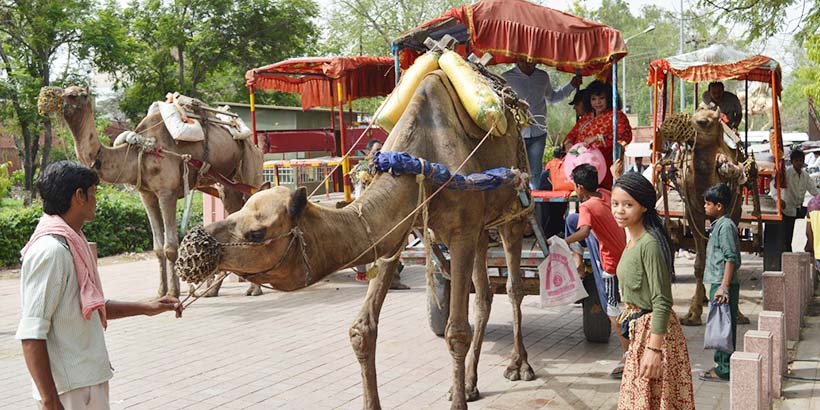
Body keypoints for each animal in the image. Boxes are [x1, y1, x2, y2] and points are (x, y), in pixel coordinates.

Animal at [41, 86, 262, 298]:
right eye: (64, 90)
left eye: (78, 94)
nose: (51, 99)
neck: (141, 149)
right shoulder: (146, 194)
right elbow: (157, 247)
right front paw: (161, 292)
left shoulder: (166, 192)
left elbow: (170, 246)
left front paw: (173, 293)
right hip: (226, 183)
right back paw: (213, 290)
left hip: (250, 167)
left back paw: (253, 289)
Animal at [175, 69, 528, 408]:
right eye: (235, 214)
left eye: (256, 233)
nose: (192, 247)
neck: (422, 162)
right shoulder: (398, 231)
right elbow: (362, 329)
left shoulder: (461, 232)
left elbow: (456, 333)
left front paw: (460, 397)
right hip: (481, 230)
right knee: (484, 295)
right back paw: (469, 384)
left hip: (513, 214)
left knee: (513, 286)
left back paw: (518, 366)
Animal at [664, 105, 748, 326]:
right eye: (692, 116)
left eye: (703, 122)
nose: (669, 129)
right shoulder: (694, 212)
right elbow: (699, 263)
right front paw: (692, 314)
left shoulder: (733, 213)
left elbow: (732, 260)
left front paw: (738, 315)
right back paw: (700, 296)